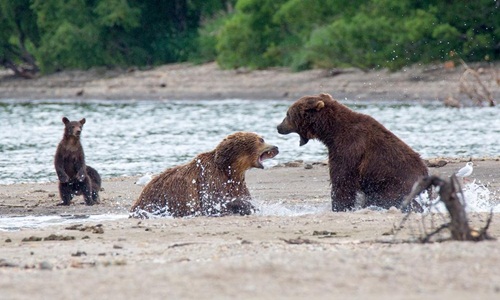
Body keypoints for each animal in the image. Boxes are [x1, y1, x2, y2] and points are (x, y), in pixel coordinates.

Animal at [130, 131, 278, 218]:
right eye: (261, 139)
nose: (276, 147)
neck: (229, 168)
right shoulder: (210, 179)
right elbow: (214, 202)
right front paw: (245, 207)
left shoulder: (236, 183)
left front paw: (253, 207)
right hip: (156, 200)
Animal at [278, 93, 426, 211]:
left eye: (287, 114)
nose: (278, 127)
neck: (332, 132)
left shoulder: (350, 148)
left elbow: (343, 180)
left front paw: (339, 207)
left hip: (394, 182)